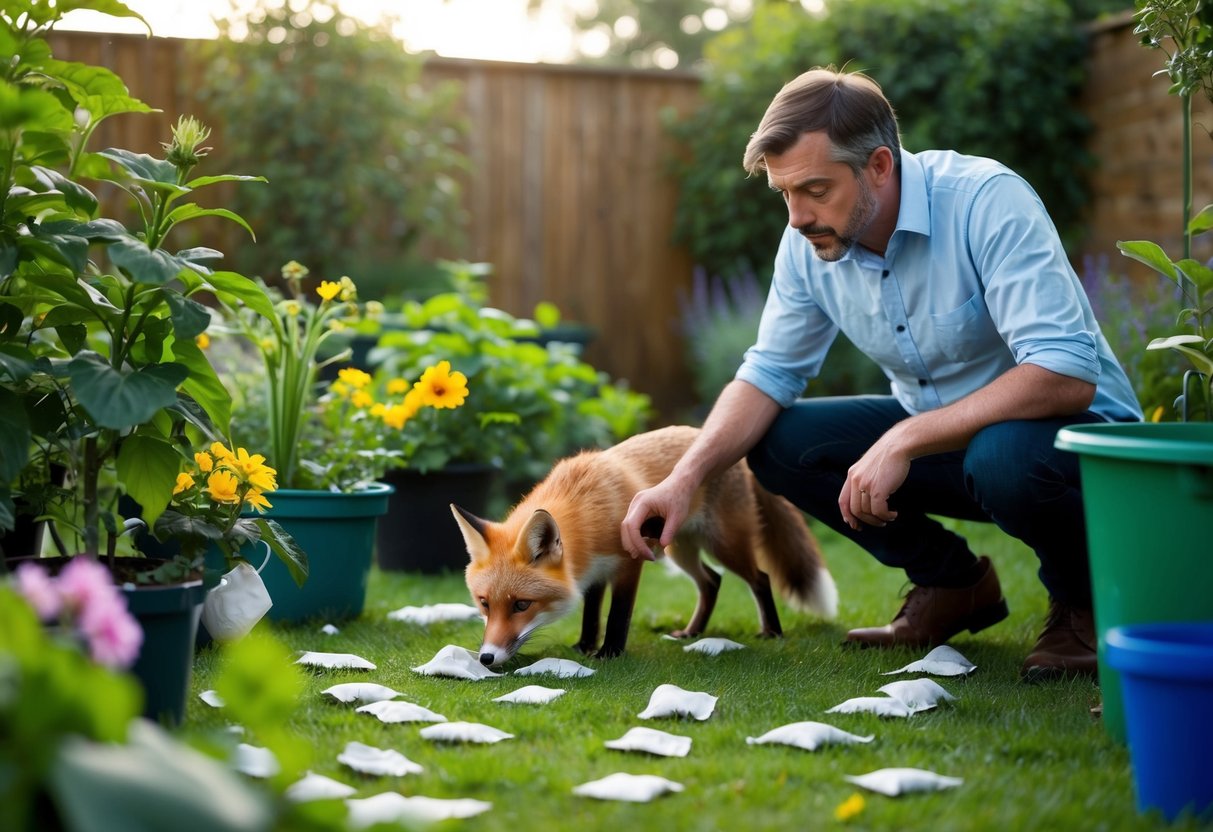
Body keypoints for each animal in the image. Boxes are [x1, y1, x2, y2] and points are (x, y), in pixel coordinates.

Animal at [451, 425, 838, 668]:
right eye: (484, 603)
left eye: (521, 605)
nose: (486, 658)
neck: (589, 509)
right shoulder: (593, 572)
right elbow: (592, 613)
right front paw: (584, 645)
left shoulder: (628, 560)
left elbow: (617, 613)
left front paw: (609, 653)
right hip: (680, 550)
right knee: (712, 581)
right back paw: (692, 632)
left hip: (724, 545)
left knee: (759, 578)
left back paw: (771, 631)